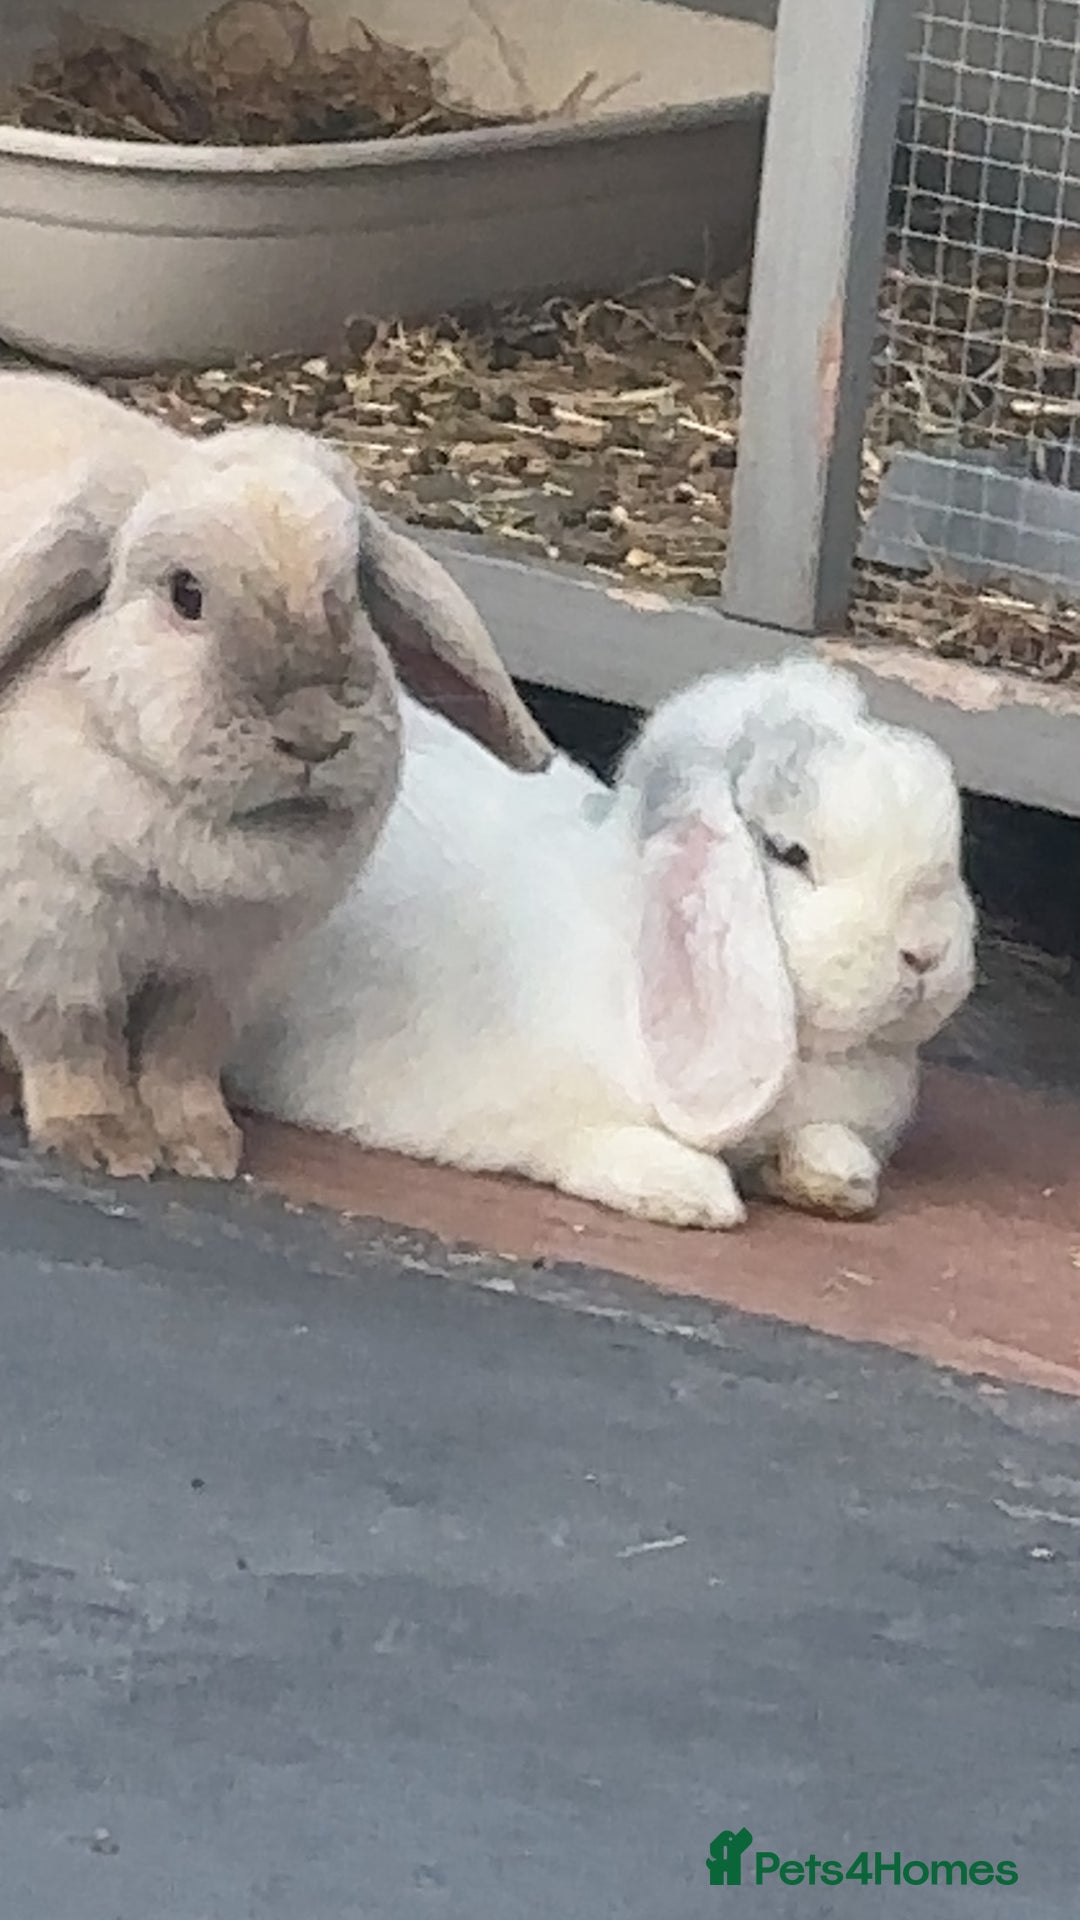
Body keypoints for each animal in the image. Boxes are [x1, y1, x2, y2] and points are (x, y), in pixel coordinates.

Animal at [0, 407, 551, 1184]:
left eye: (354, 590)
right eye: (186, 594)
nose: (314, 736)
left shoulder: (223, 981)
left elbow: (179, 1058)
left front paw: (204, 1148)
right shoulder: (50, 954)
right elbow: (74, 1051)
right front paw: (105, 1144)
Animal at [230, 656, 977, 1228]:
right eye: (787, 852)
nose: (926, 955)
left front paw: (837, 1178)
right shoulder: (518, 1110)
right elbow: (586, 1142)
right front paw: (693, 1193)